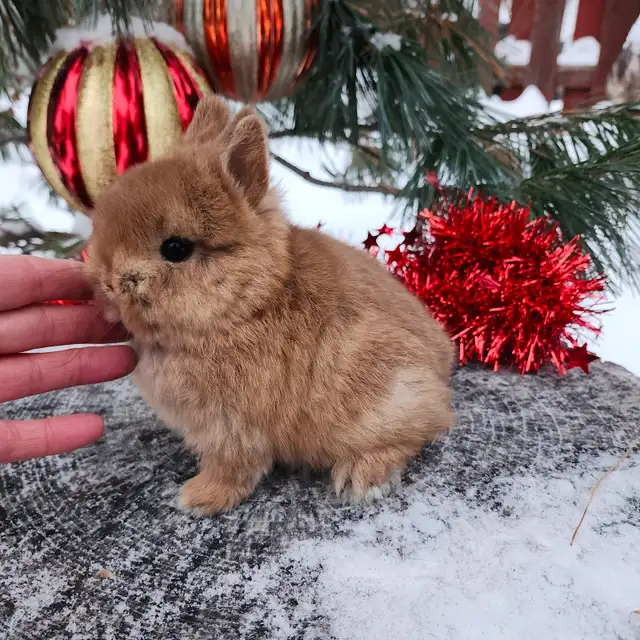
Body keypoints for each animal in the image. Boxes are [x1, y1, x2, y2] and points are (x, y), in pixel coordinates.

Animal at [85, 95, 454, 515]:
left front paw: (197, 498)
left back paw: (362, 478)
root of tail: (442, 368)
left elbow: (233, 468)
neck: (248, 305)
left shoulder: (232, 428)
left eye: (175, 249)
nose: (107, 281)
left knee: (422, 429)